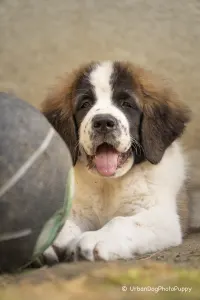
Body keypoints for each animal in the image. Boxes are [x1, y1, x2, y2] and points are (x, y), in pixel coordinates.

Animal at [41, 61, 191, 262]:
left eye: (126, 104)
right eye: (85, 104)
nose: (103, 122)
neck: (107, 183)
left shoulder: (162, 217)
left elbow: (121, 222)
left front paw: (97, 238)